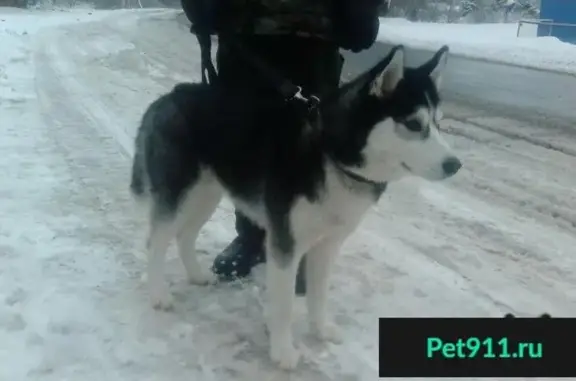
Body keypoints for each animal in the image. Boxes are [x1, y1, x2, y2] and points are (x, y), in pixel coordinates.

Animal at [129, 44, 460, 368]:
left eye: (439, 123)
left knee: (185, 236)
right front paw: (283, 352)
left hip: (205, 195)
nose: (455, 165)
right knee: (156, 241)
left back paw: (197, 275)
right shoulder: (286, 242)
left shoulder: (327, 245)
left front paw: (320, 330)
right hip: (180, 195)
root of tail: (166, 98)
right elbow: (285, 305)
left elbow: (318, 294)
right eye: (414, 124)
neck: (332, 154)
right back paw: (159, 295)